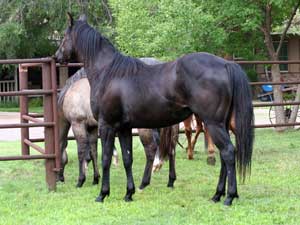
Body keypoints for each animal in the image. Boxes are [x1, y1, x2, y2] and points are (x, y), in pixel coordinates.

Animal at [54, 12, 253, 206]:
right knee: (224, 156)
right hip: (221, 124)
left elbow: (105, 159)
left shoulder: (107, 125)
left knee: (228, 152)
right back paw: (217, 195)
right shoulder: (124, 128)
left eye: (64, 36)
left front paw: (102, 194)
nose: (56, 57)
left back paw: (228, 197)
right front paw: (129, 193)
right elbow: (127, 159)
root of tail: (226, 64)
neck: (109, 73)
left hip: (213, 124)